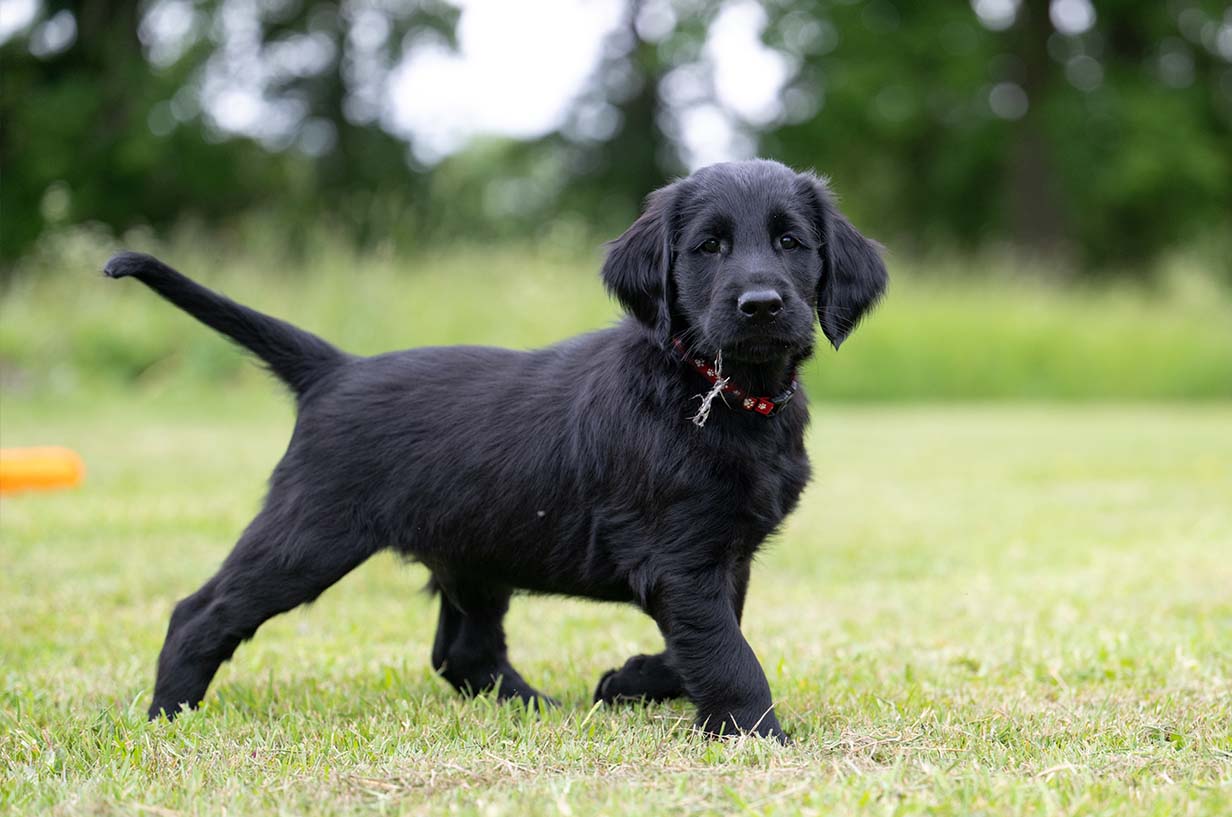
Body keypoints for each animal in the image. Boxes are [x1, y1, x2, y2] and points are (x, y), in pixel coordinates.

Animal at [105, 157, 887, 739]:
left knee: (463, 652)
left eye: (792, 242)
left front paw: (628, 680)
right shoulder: (676, 556)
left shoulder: (724, 556)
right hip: (308, 537)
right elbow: (727, 651)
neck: (717, 392)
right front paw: (758, 734)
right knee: (199, 612)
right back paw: (168, 714)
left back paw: (538, 708)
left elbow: (702, 641)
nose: (761, 304)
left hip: (474, 549)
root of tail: (336, 369)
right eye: (709, 247)